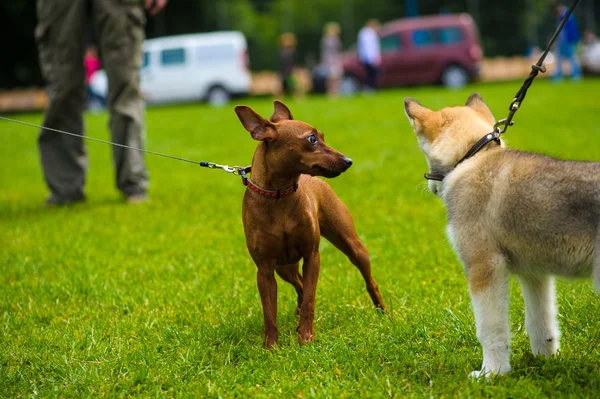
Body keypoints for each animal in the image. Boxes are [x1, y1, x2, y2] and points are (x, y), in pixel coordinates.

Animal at [232, 101, 386, 348]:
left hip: (353, 246)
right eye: (312, 139)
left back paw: (384, 313)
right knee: (300, 285)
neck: (279, 195)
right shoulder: (265, 270)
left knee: (369, 282)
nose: (348, 161)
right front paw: (271, 346)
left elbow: (310, 301)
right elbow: (269, 312)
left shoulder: (312, 256)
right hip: (284, 267)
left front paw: (305, 337)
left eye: (322, 136)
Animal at [406, 94, 596, 378]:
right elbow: (541, 323)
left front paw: (492, 373)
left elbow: (489, 330)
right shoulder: (535, 273)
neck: (473, 157)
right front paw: (545, 360)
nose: (430, 187)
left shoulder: (484, 267)